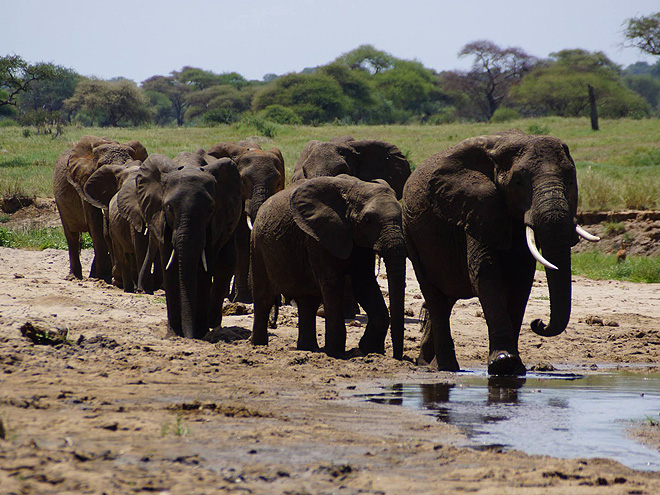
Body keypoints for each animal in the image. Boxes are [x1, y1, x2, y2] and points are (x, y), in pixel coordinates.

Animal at [52, 136, 148, 282]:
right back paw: (75, 277)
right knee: (71, 234)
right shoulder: (83, 181)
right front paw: (104, 277)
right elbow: (96, 222)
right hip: (59, 200)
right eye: (101, 167)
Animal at [137, 151, 242, 340]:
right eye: (169, 207)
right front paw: (173, 334)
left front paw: (199, 334)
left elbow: (204, 268)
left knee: (226, 263)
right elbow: (169, 265)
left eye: (210, 209)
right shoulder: (161, 218)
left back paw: (213, 326)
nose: (189, 336)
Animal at [250, 175, 408, 360]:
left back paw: (308, 349)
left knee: (307, 303)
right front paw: (336, 353)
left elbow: (364, 283)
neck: (357, 188)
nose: (398, 357)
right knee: (264, 297)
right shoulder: (318, 237)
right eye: (367, 220)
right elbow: (333, 283)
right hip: (257, 245)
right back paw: (259, 346)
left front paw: (369, 349)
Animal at [400, 131, 600, 376]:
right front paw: (504, 364)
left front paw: (515, 368)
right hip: (411, 234)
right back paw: (447, 368)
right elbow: (486, 273)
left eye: (571, 180)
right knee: (434, 297)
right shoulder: (477, 208)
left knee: (444, 301)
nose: (538, 323)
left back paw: (428, 363)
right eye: (518, 182)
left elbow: (521, 280)